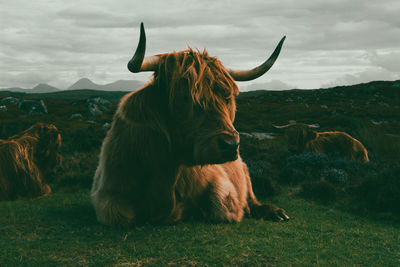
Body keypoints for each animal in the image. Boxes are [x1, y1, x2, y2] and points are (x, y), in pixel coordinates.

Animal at [90, 23, 290, 228]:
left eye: (227, 97)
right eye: (183, 97)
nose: (231, 145)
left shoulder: (221, 182)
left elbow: (222, 207)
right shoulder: (106, 196)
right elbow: (122, 216)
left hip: (244, 169)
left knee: (252, 199)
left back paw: (275, 212)